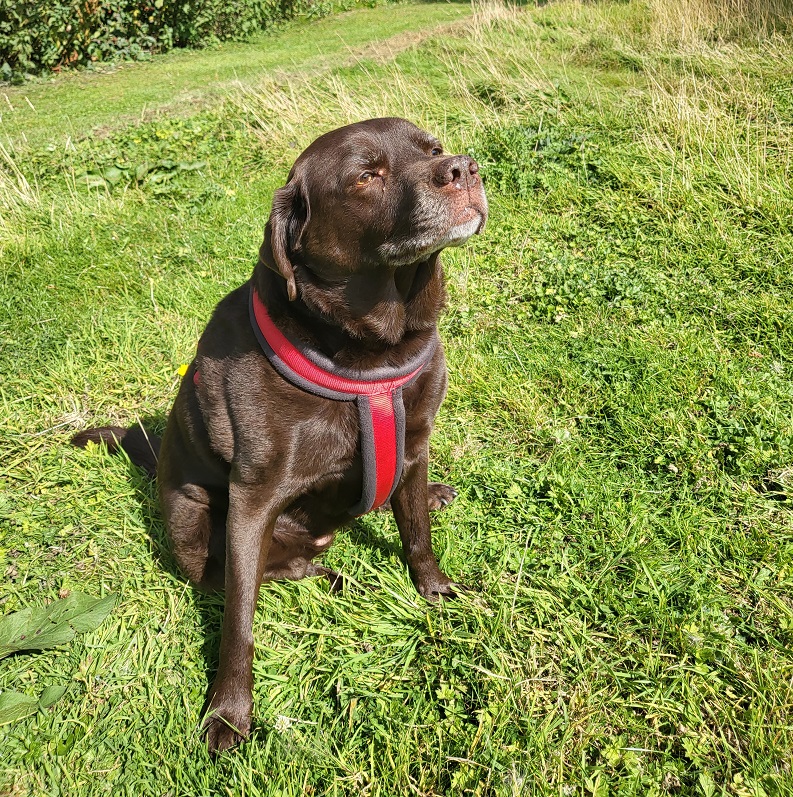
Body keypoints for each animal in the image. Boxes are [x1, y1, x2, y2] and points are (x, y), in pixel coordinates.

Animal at [71, 118, 486, 752]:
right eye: (366, 176)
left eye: (433, 148)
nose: (463, 168)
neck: (371, 356)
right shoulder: (252, 500)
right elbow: (238, 621)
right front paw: (228, 713)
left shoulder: (414, 445)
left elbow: (417, 534)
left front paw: (436, 590)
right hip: (192, 524)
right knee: (237, 575)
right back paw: (322, 573)